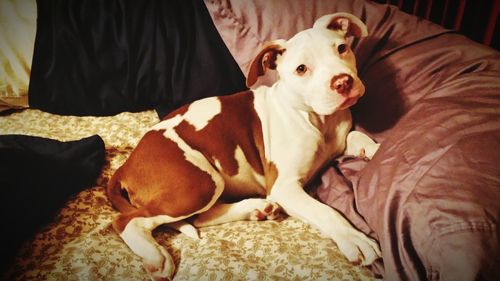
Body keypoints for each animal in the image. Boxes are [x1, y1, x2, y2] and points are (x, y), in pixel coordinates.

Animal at [108, 12, 382, 278]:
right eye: (301, 69)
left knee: (199, 218)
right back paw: (155, 256)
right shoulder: (284, 188)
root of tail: (127, 165)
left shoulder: (339, 136)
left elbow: (356, 137)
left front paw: (376, 151)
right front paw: (354, 239)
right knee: (126, 221)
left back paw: (256, 208)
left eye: (342, 48)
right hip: (198, 183)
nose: (343, 82)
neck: (317, 119)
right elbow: (324, 211)